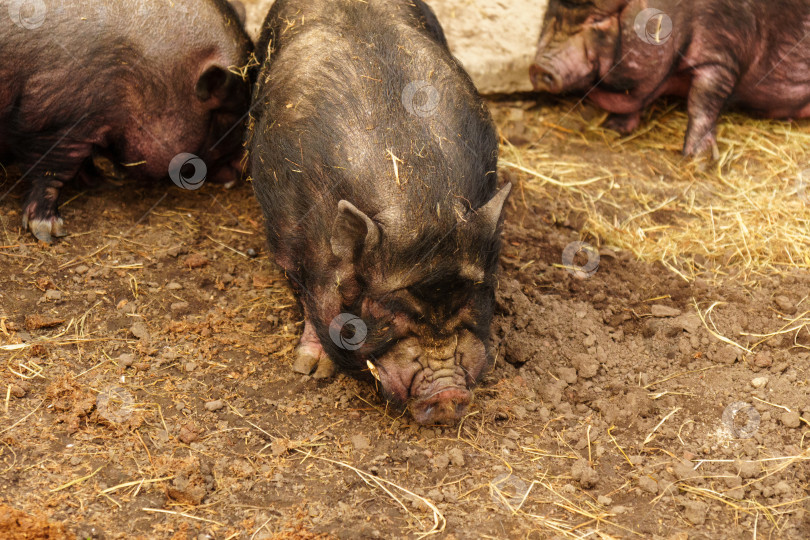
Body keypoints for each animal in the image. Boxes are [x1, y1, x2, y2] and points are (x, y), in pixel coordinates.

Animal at [0, 0, 252, 240]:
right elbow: (51, 172)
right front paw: (50, 232)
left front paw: (103, 183)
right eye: (231, 116)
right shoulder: (59, 121)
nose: (244, 167)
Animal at [249, 0, 508, 424]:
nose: (448, 394)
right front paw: (309, 369)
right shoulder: (284, 236)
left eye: (474, 298)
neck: (422, 206)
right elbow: (307, 298)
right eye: (387, 314)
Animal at [528, 0, 808, 157]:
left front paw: (697, 157)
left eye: (598, 20)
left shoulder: (722, 54)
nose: (539, 67)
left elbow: (702, 102)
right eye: (550, 13)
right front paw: (613, 128)